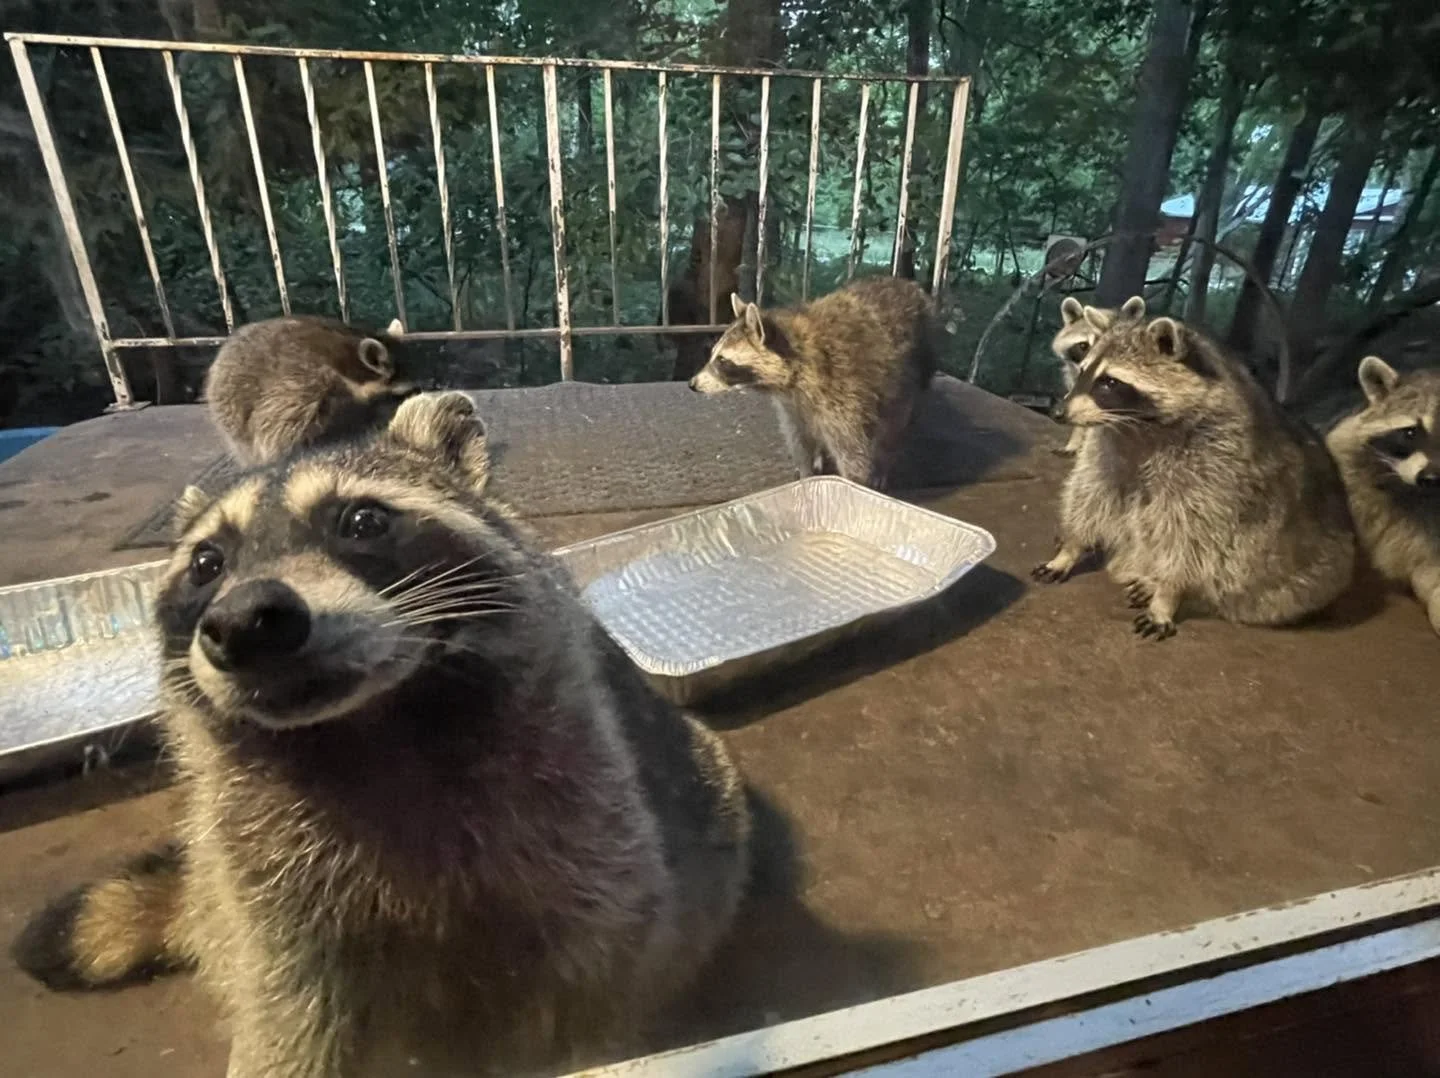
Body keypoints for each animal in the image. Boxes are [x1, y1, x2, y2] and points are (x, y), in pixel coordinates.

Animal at [12, 392, 751, 1078]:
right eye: (206, 564)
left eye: (362, 521)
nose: (246, 621)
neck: (363, 727)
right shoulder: (266, 883)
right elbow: (290, 1015)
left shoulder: (587, 822)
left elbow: (593, 988)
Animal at [688, 276, 939, 490]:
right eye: (713, 354)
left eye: (722, 360)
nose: (693, 384)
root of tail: (908, 284)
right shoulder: (793, 404)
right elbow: (799, 437)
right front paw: (806, 471)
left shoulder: (845, 393)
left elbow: (853, 453)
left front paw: (855, 485)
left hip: (910, 375)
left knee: (894, 423)